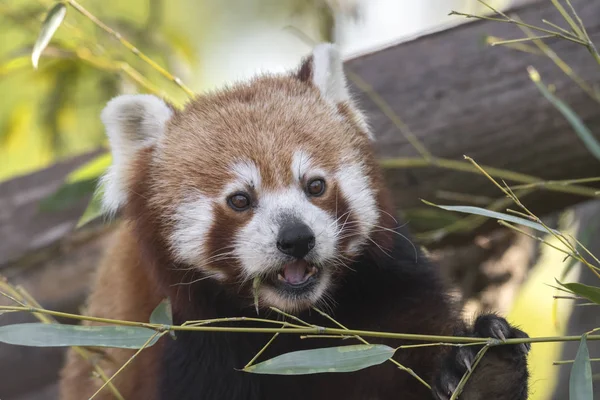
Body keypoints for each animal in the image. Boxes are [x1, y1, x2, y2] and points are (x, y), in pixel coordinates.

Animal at [59, 43, 528, 400]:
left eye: (315, 185)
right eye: (240, 199)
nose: (296, 239)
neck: (297, 322)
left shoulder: (387, 292)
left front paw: (483, 372)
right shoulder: (188, 339)